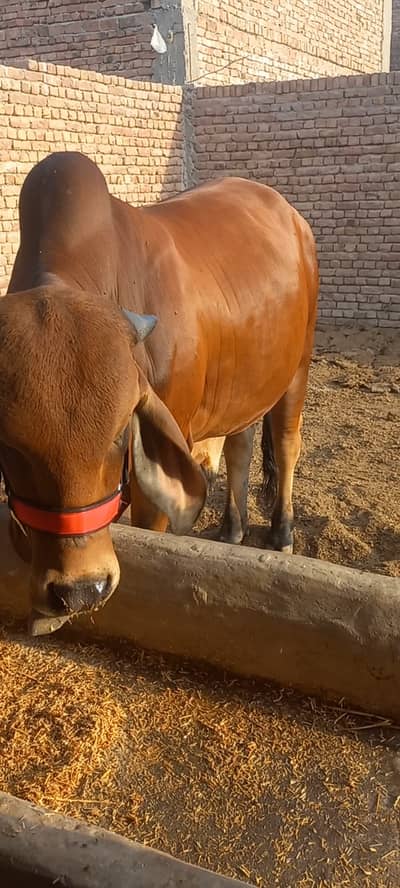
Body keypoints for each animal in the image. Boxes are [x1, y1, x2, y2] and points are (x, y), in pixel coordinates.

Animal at [0, 152, 318, 627]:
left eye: (120, 435)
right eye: (10, 446)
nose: (81, 590)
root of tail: (291, 214)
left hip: (298, 368)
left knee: (285, 444)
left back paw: (281, 534)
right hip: (244, 381)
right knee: (240, 446)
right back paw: (232, 529)